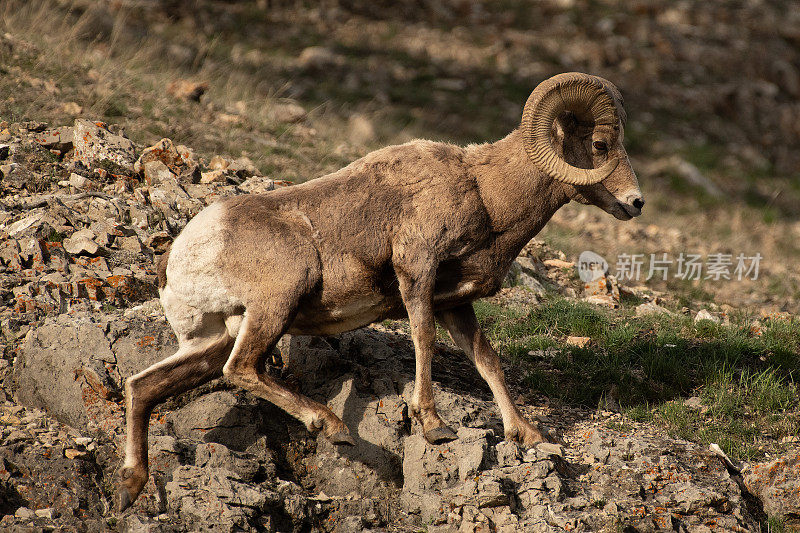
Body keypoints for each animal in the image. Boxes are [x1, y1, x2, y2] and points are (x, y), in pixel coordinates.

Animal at [117, 70, 644, 508]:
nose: (636, 203)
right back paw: (331, 427)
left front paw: (528, 436)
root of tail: (179, 256)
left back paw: (130, 488)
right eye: (600, 144)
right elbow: (423, 339)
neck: (485, 193)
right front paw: (434, 427)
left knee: (144, 386)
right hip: (276, 304)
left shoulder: (456, 304)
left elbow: (486, 360)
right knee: (241, 368)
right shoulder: (417, 269)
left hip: (210, 340)